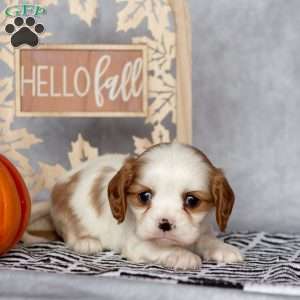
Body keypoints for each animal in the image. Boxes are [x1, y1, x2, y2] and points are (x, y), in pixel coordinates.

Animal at [48, 143, 241, 270]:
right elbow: (161, 248)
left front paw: (224, 249)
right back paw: (85, 242)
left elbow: (208, 240)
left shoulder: (202, 231)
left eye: (192, 201)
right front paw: (183, 255)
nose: (165, 224)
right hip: (66, 214)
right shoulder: (136, 243)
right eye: (144, 196)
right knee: (69, 232)